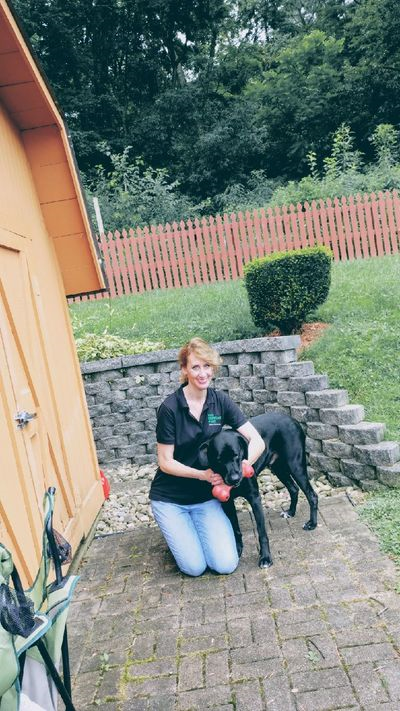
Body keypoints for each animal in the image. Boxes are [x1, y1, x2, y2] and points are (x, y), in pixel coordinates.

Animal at [198, 411, 318, 568]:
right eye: (219, 459)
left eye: (236, 455)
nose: (235, 478)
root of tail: (292, 419)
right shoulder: (227, 503)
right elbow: (235, 529)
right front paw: (237, 549)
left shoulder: (255, 498)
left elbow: (262, 533)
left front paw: (265, 557)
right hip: (278, 468)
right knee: (294, 489)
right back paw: (291, 512)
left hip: (295, 466)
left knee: (312, 495)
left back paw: (312, 524)